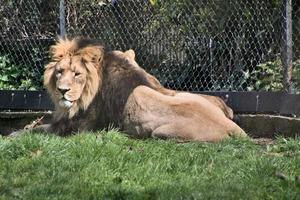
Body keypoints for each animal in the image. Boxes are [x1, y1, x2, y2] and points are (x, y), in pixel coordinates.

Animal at [11, 38, 246, 142]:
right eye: (59, 72)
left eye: (77, 74)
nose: (62, 90)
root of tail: (236, 130)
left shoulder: (78, 127)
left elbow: (38, 130)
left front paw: (14, 134)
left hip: (161, 131)